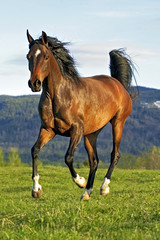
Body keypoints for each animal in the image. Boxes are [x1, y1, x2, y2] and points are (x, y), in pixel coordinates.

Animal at [26, 31, 136, 202]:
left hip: (118, 123)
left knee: (115, 155)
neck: (60, 95)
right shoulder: (48, 130)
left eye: (46, 56)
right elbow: (35, 150)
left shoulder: (76, 129)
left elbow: (68, 157)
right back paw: (87, 193)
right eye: (28, 56)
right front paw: (36, 189)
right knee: (94, 161)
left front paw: (80, 181)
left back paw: (103, 187)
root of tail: (118, 84)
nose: (35, 84)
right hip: (91, 134)